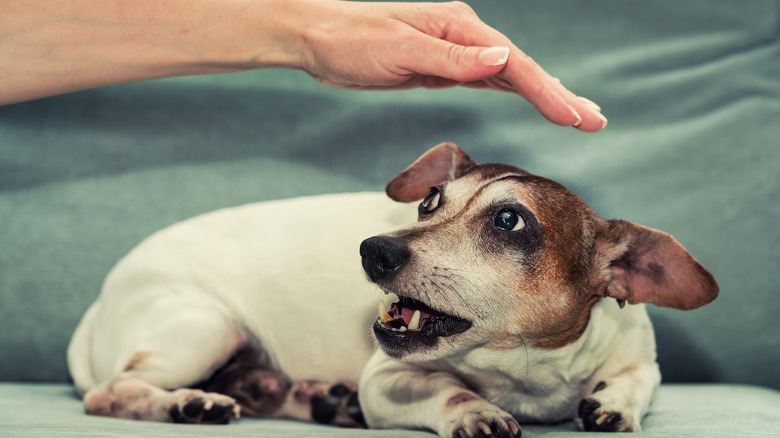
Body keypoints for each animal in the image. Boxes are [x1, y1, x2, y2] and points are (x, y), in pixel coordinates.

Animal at [68, 143, 720, 434]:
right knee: (111, 392)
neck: (524, 372)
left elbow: (636, 381)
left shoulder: (640, 358)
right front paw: (475, 411)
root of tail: (97, 304)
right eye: (430, 201)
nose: (373, 249)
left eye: (510, 221)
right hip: (203, 328)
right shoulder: (387, 378)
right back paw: (189, 402)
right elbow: (449, 392)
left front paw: (613, 405)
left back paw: (317, 399)